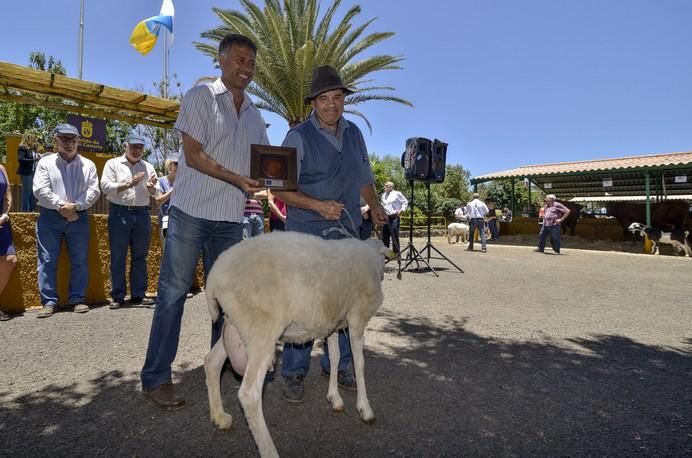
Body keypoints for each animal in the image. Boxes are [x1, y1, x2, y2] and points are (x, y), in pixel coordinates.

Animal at [203, 233, 392, 458]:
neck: (371, 256)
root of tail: (213, 278)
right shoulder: (357, 318)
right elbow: (359, 363)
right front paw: (365, 409)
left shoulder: (332, 323)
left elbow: (335, 357)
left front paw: (334, 398)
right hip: (261, 331)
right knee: (249, 394)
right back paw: (269, 451)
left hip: (235, 325)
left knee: (212, 362)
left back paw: (219, 416)